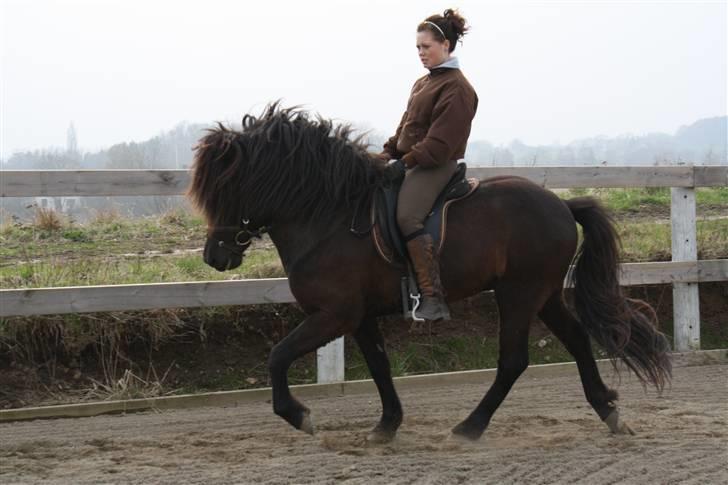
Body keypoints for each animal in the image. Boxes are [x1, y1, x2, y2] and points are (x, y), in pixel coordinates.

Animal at [188, 103, 672, 442]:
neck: (328, 216)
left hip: (519, 294)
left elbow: (278, 356)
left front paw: (299, 416)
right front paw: (387, 425)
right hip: (544, 294)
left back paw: (470, 427)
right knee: (576, 340)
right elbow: (379, 366)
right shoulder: (359, 317)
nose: (215, 256)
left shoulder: (334, 314)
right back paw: (608, 412)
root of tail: (561, 204)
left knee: (513, 360)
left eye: (226, 189)